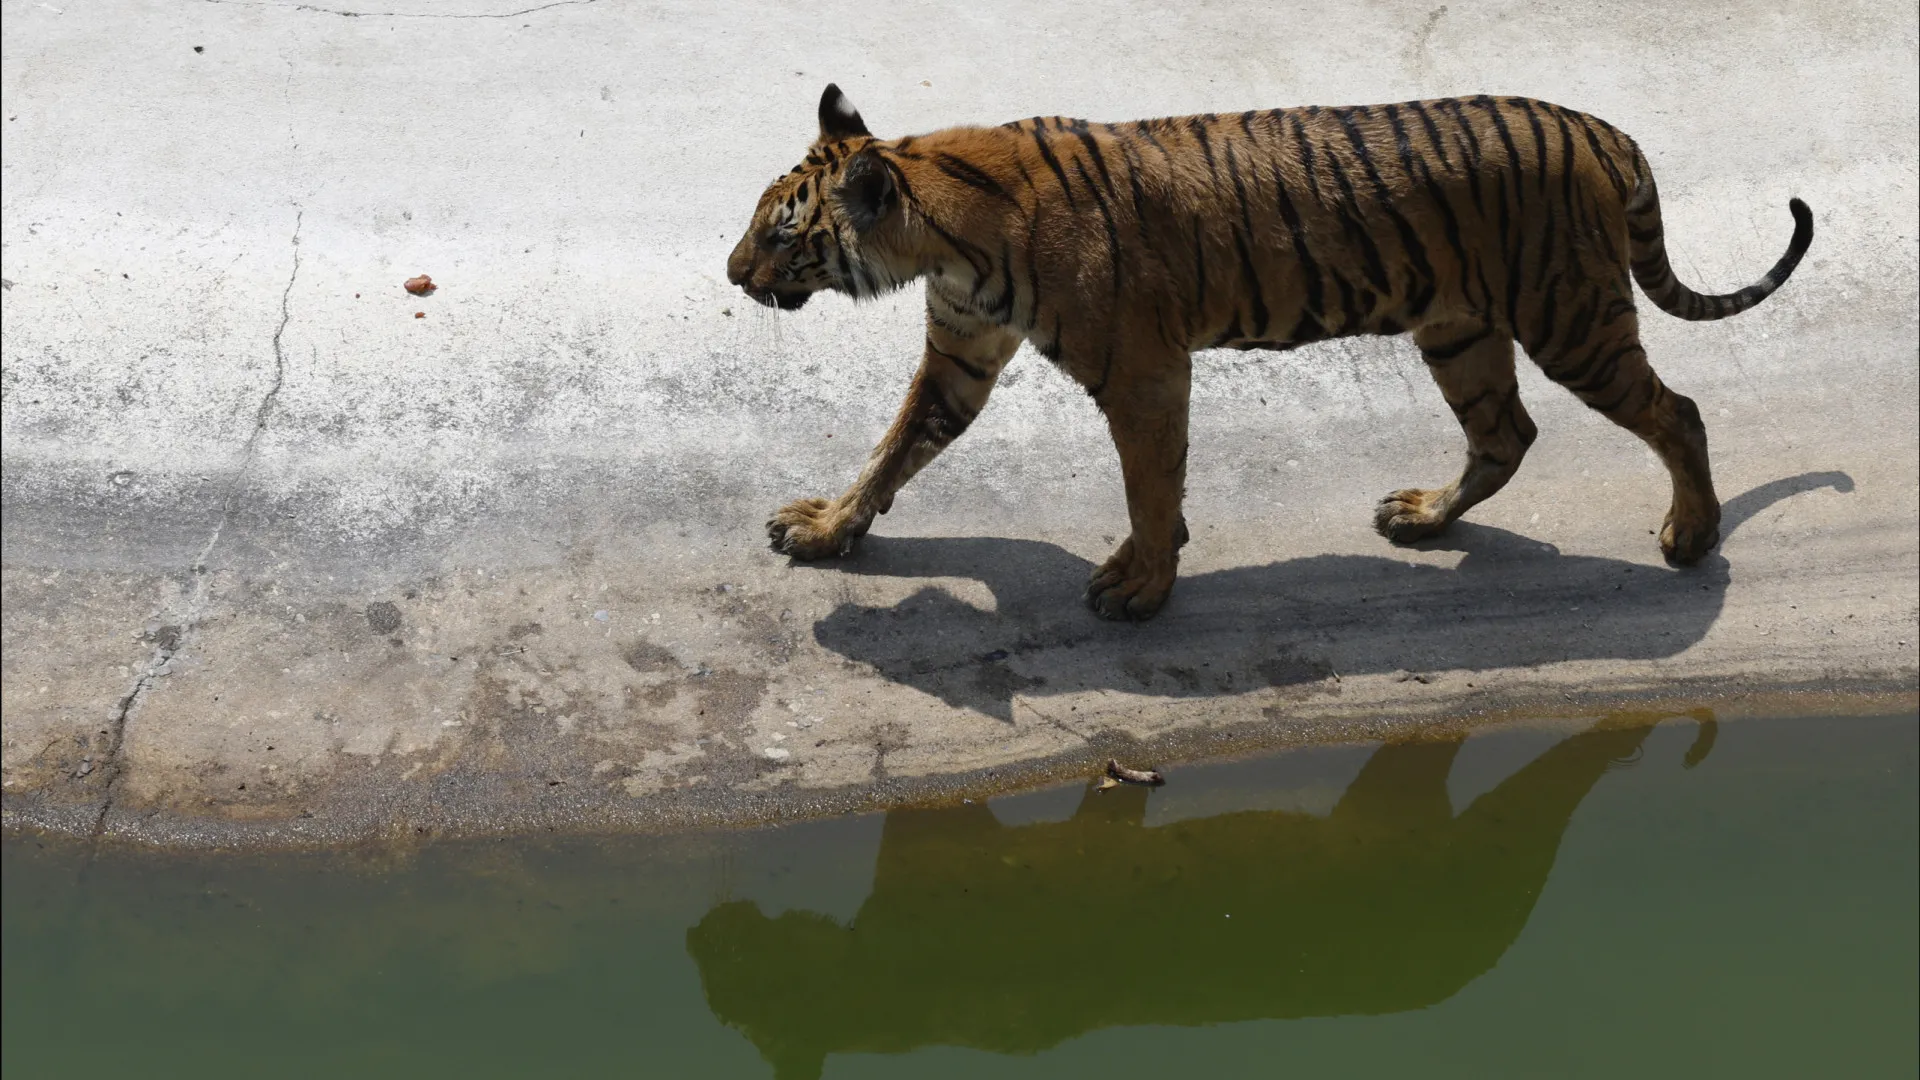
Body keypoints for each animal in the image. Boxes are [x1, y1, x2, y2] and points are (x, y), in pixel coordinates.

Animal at [727, 84, 1812, 621]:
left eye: (784, 231)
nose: (733, 273)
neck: (942, 236)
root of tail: (1602, 128)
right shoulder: (960, 352)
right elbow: (891, 451)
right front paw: (825, 530)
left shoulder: (1143, 370)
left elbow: (1150, 485)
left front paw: (1141, 586)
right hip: (1460, 328)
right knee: (1506, 432)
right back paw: (1423, 517)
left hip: (1569, 316)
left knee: (1677, 412)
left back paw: (1690, 535)